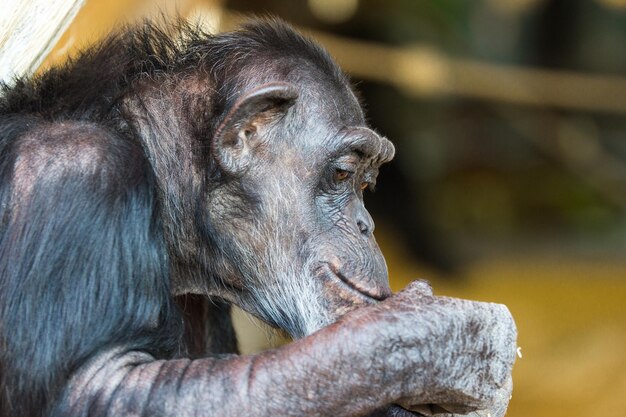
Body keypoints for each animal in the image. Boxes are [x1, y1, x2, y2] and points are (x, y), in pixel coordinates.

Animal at [0, 18, 516, 416]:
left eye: (367, 185)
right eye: (343, 174)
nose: (365, 225)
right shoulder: (77, 174)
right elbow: (101, 386)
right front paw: (439, 338)